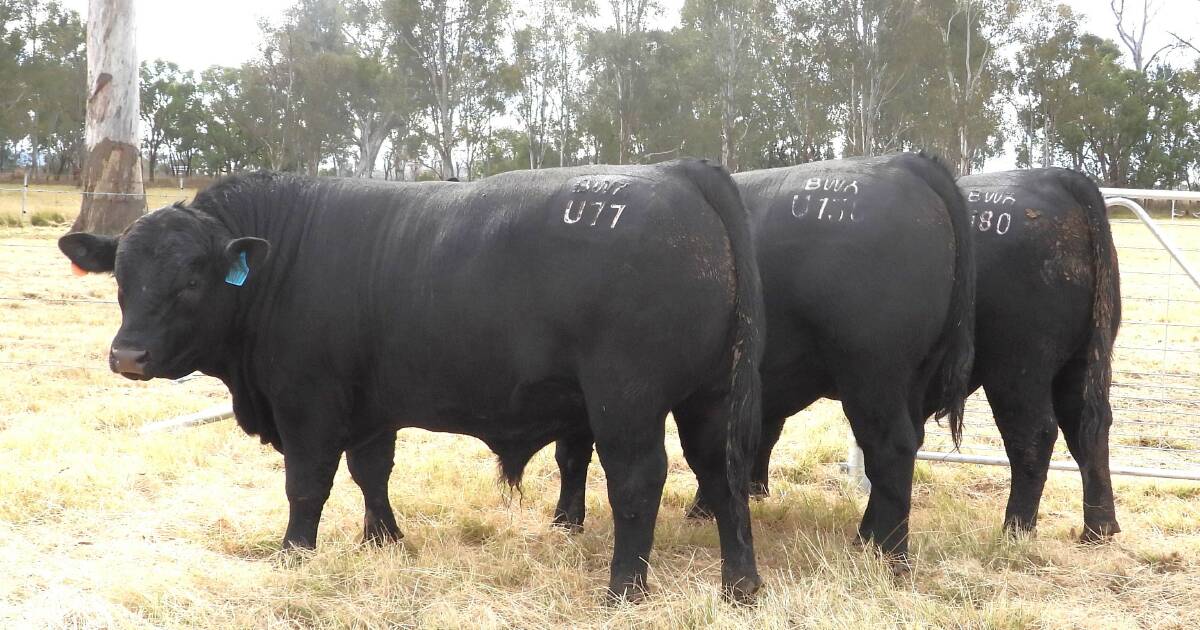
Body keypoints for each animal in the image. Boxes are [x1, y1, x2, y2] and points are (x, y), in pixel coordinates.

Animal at [58, 159, 766, 602]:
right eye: (123, 275)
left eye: (193, 278)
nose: (128, 355)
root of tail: (678, 171)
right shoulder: (372, 406)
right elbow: (371, 472)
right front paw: (383, 539)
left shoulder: (308, 402)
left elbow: (307, 484)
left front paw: (295, 553)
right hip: (709, 396)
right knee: (720, 474)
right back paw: (740, 586)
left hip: (626, 399)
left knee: (639, 482)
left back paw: (624, 589)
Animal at [552, 153, 977, 568]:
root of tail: (905, 162)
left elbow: (571, 453)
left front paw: (564, 522)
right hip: (912, 378)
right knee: (905, 445)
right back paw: (865, 537)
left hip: (872, 372)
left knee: (890, 448)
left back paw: (889, 554)